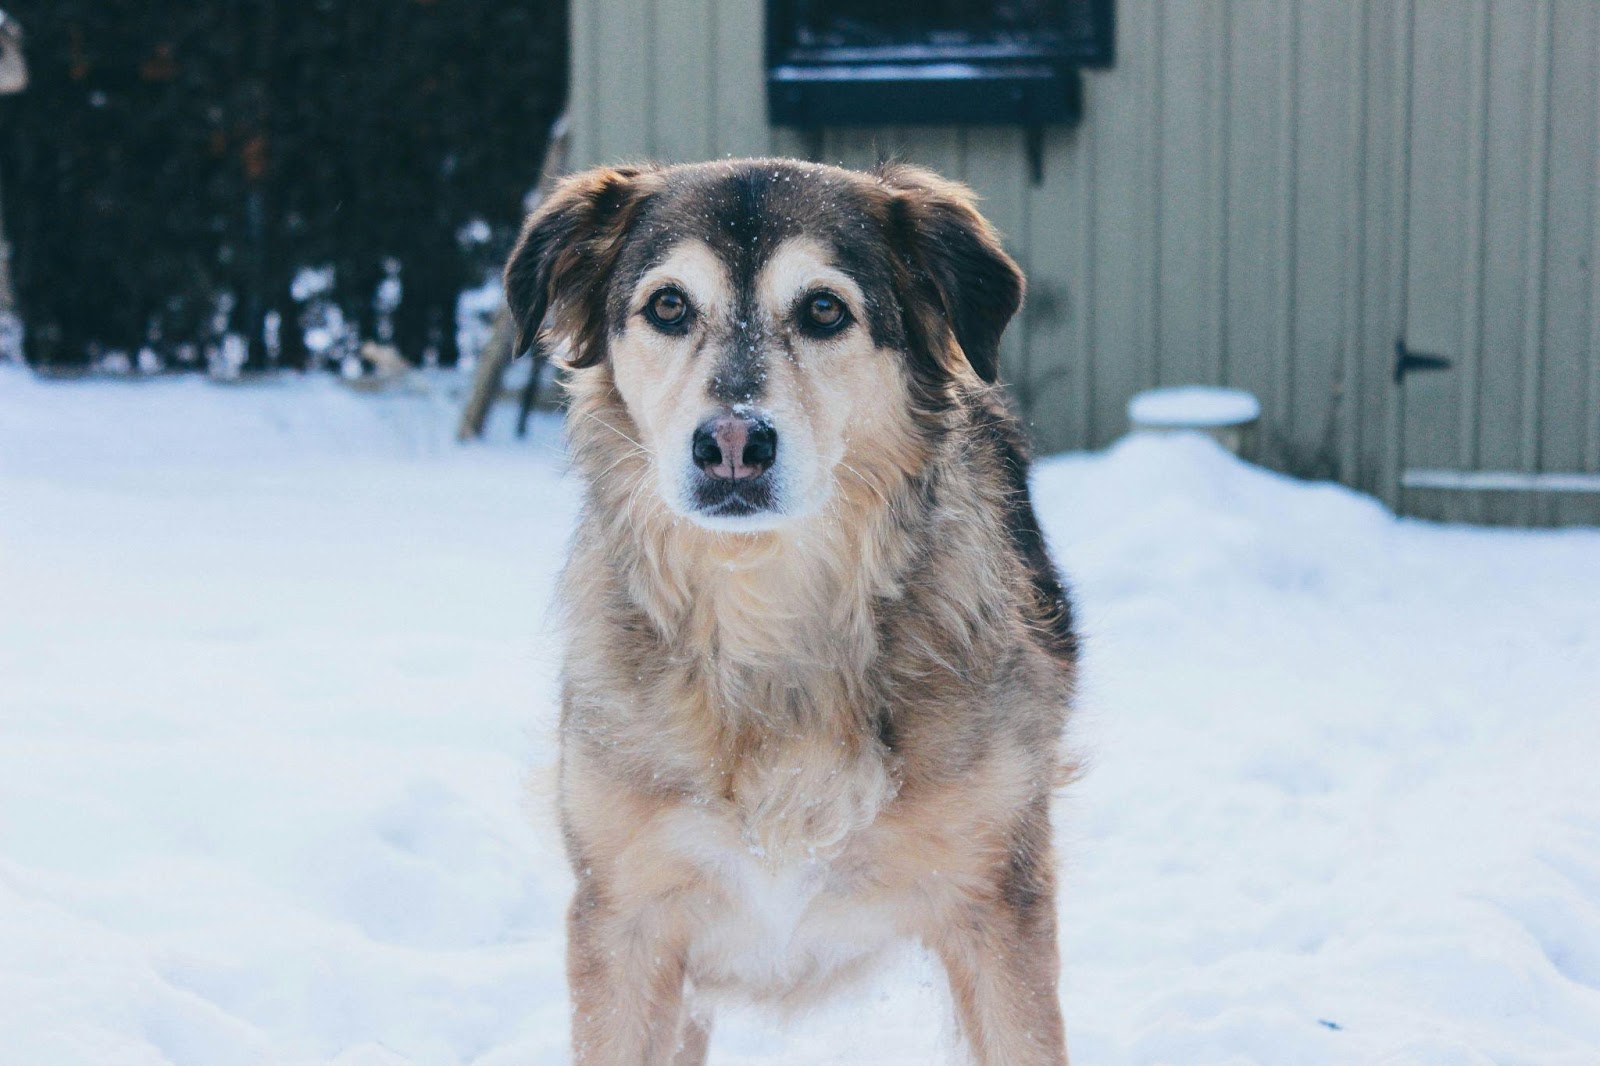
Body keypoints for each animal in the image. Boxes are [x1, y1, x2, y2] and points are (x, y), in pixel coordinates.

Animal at [505, 153, 1081, 1056]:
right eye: (668, 305)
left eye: (823, 310)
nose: (733, 444)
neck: (767, 610)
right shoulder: (624, 920)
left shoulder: (999, 905)